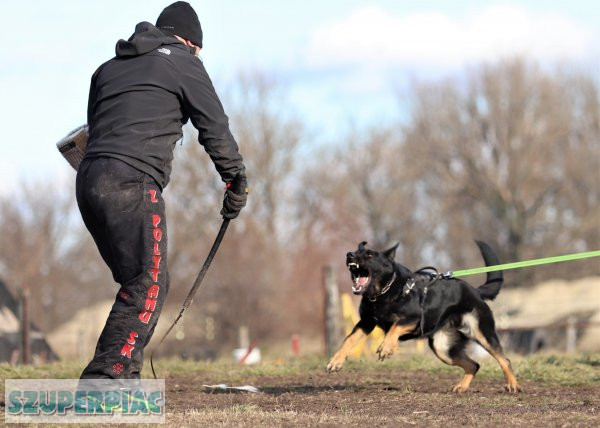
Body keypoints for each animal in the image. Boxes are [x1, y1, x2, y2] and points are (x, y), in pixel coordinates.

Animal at [328, 239, 520, 392]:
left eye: (369, 255)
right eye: (356, 251)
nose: (349, 254)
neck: (383, 293)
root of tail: (476, 291)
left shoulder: (413, 319)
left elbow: (395, 327)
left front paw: (387, 348)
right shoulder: (366, 322)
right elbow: (349, 340)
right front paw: (336, 361)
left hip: (481, 333)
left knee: (504, 360)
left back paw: (513, 386)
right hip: (442, 348)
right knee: (474, 365)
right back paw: (462, 387)